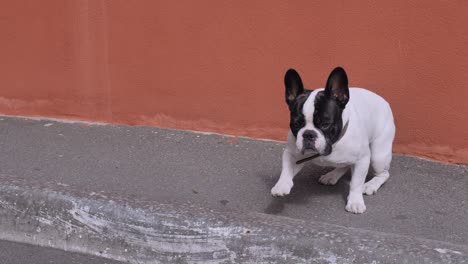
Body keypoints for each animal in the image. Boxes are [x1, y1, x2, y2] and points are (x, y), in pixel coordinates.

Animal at [270, 67, 394, 213]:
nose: (308, 134)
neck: (333, 144)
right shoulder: (291, 153)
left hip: (378, 155)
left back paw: (371, 185)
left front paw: (355, 202)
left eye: (325, 124)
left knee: (384, 174)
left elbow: (356, 183)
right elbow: (286, 169)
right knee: (344, 165)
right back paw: (332, 175)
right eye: (296, 124)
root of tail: (383, 101)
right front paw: (281, 185)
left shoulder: (362, 159)